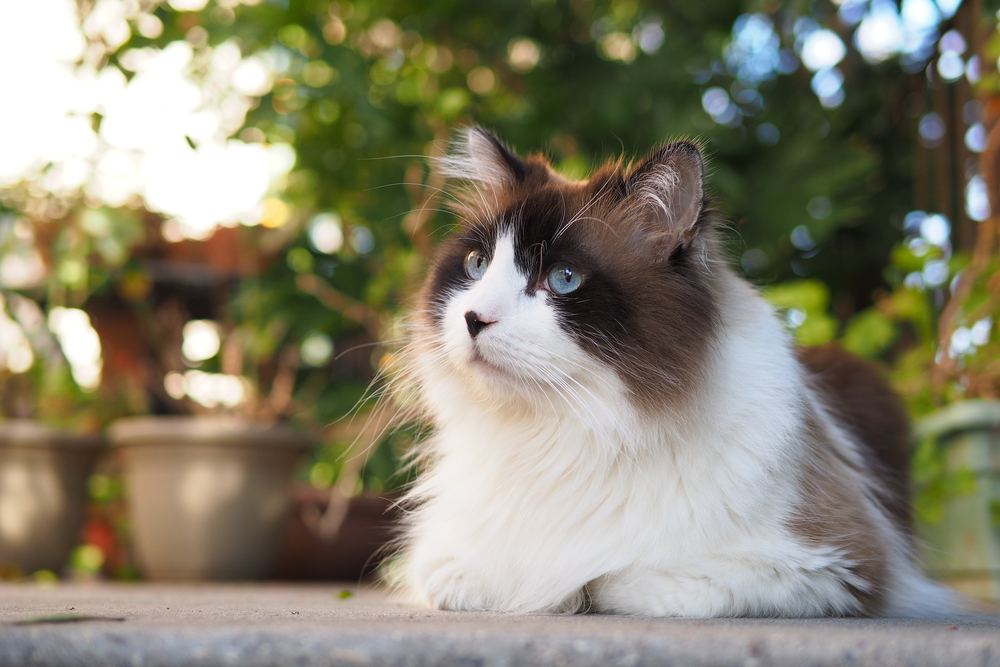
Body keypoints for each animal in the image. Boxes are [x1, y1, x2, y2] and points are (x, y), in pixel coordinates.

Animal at [388, 128, 952, 620]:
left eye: (563, 279)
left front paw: (579, 591)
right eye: (477, 266)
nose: (473, 318)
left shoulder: (834, 566)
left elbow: (614, 579)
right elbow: (463, 576)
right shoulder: (441, 561)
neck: (572, 430)